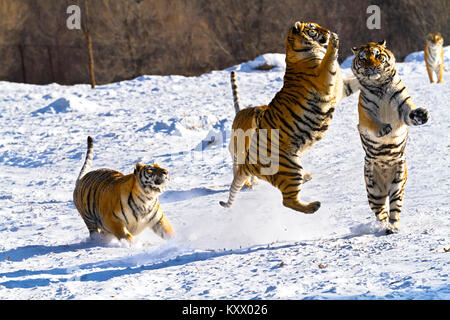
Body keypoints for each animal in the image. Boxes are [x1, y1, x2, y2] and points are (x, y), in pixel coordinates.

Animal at [220, 21, 360, 212]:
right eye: (314, 29)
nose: (328, 31)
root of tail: (249, 162)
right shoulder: (325, 79)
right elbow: (328, 60)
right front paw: (334, 42)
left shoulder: (341, 87)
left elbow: (357, 81)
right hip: (290, 168)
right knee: (288, 201)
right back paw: (313, 206)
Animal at [350, 41, 430, 234]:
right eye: (363, 59)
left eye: (377, 56)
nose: (371, 67)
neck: (379, 86)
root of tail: (386, 186)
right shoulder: (365, 114)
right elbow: (372, 122)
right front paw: (383, 129)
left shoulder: (402, 104)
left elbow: (410, 111)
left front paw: (421, 115)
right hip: (373, 190)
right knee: (381, 213)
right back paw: (384, 227)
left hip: (397, 183)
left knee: (394, 208)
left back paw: (393, 227)